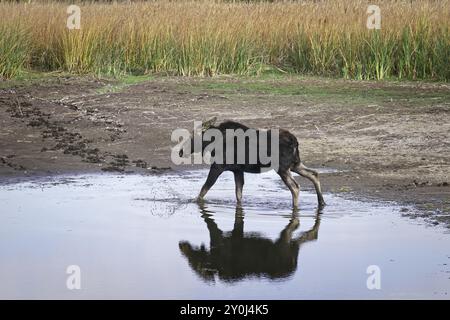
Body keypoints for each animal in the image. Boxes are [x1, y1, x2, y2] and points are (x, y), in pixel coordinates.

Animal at [178, 119, 326, 209]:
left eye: (192, 136)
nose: (180, 152)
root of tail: (295, 141)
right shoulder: (237, 170)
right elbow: (238, 194)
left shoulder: (218, 167)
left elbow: (204, 189)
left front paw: (194, 202)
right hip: (295, 164)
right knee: (314, 174)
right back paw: (321, 202)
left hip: (282, 168)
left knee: (295, 187)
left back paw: (295, 208)